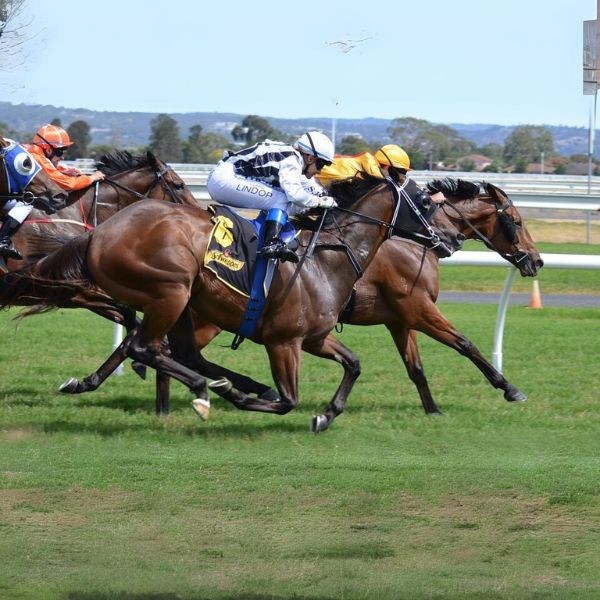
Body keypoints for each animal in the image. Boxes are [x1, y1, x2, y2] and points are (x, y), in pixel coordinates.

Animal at [0, 173, 436, 432]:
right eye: (427, 203)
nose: (438, 241)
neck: (325, 258)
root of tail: (97, 233)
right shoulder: (284, 341)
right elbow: (288, 400)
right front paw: (243, 397)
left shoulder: (314, 338)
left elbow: (354, 364)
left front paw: (325, 415)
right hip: (171, 291)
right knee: (146, 347)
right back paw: (206, 390)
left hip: (177, 303)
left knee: (168, 349)